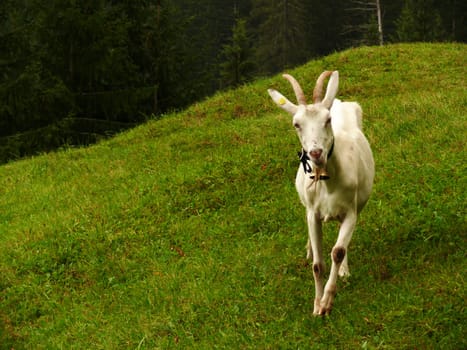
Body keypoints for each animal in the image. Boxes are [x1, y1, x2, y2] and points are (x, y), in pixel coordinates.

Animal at [268, 71, 374, 314]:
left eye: (327, 120)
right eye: (296, 124)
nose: (316, 153)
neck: (327, 182)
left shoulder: (350, 211)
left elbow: (338, 251)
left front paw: (327, 302)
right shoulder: (313, 214)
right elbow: (318, 265)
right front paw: (317, 305)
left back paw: (344, 270)